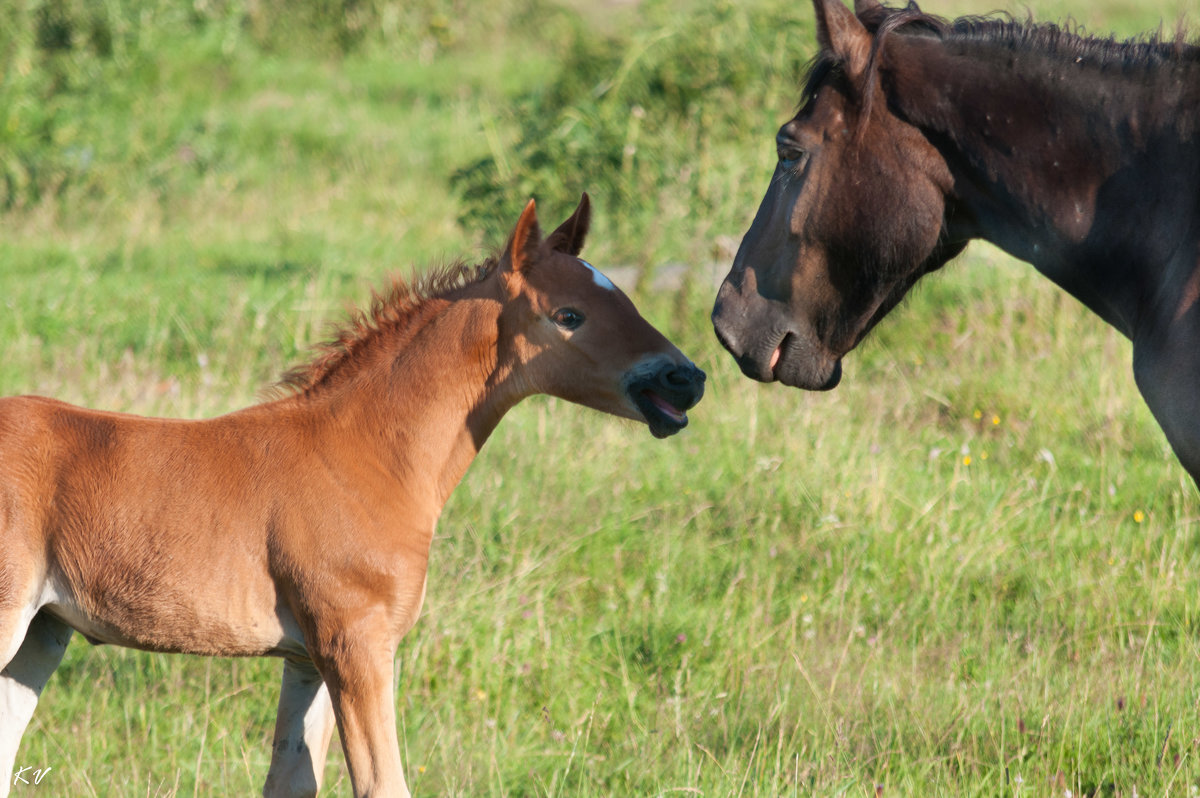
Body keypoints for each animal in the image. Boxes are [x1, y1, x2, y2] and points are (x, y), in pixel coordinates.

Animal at [0, 194, 700, 796]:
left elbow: (292, 780)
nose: (686, 377)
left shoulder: (308, 657)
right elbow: (383, 785)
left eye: (627, 299)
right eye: (568, 315)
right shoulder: (357, 644)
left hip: (42, 632)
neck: (365, 456)